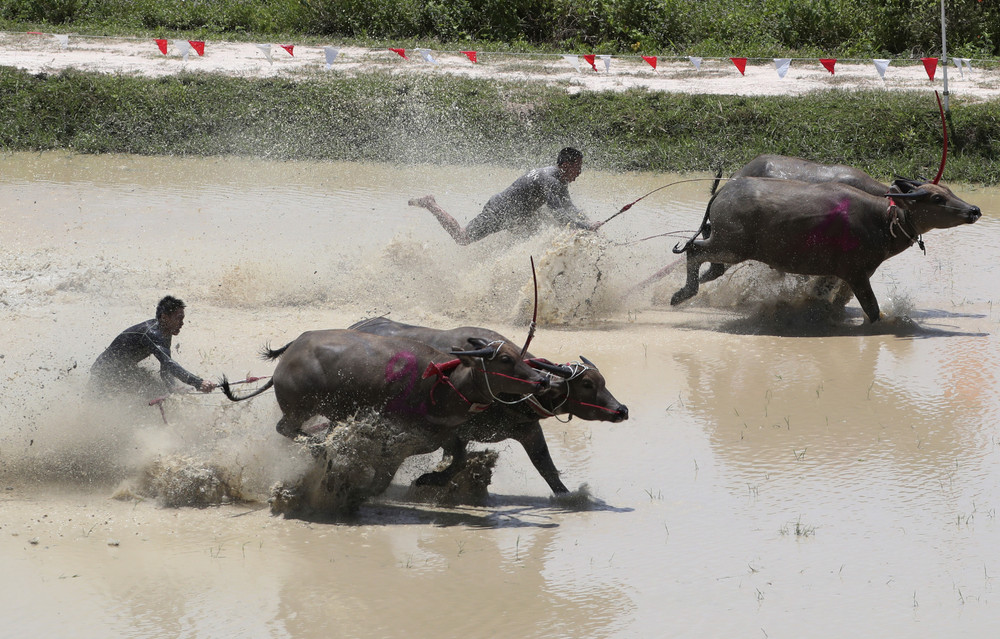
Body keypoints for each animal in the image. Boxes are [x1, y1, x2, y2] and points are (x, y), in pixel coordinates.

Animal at [221, 330, 548, 444]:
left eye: (520, 355)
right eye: (505, 359)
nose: (541, 379)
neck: (442, 382)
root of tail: (287, 357)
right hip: (299, 408)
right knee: (286, 429)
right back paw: (313, 443)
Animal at [352, 318, 628, 492]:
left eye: (603, 382)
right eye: (588, 385)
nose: (622, 410)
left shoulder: (529, 432)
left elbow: (548, 470)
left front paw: (569, 497)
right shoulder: (454, 432)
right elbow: (458, 461)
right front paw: (430, 479)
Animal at [668, 176, 980, 322]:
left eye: (950, 191)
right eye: (937, 199)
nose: (974, 210)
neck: (882, 220)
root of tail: (722, 193)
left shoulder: (846, 275)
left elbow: (833, 300)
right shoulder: (856, 274)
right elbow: (872, 309)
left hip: (727, 247)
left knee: (708, 262)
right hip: (731, 246)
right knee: (694, 251)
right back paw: (682, 294)